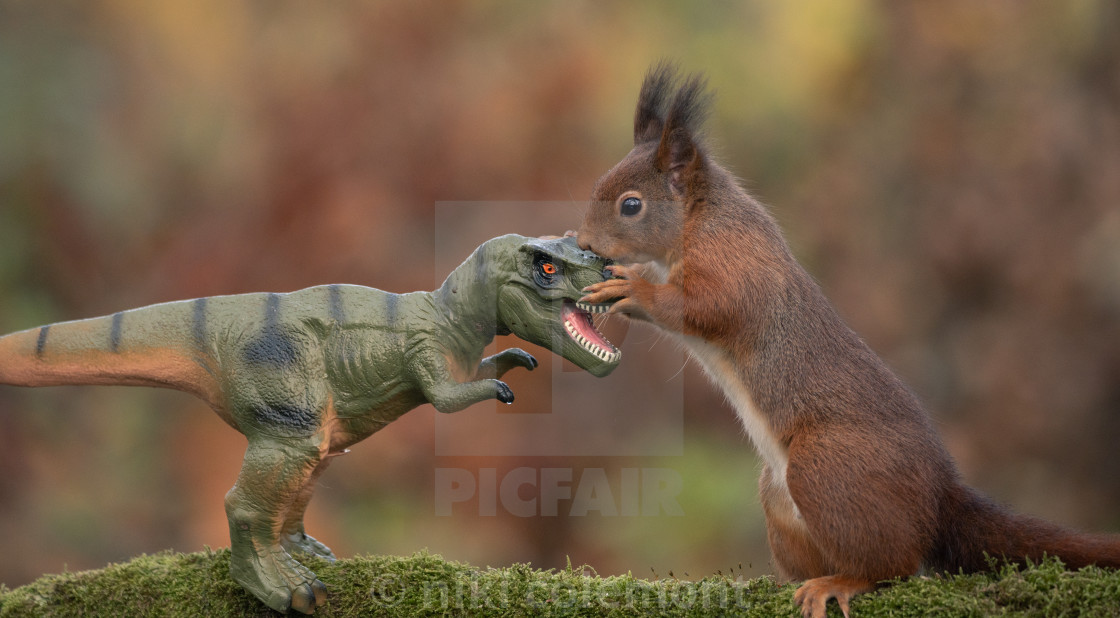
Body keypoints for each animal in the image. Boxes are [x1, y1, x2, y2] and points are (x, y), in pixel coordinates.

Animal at [577, 62, 1120, 618]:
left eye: (631, 205)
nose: (584, 244)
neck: (698, 221)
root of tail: (937, 495)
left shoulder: (735, 262)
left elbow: (708, 307)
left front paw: (633, 289)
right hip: (781, 496)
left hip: (827, 468)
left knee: (894, 564)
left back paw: (843, 582)